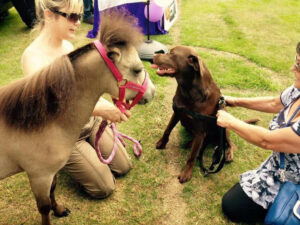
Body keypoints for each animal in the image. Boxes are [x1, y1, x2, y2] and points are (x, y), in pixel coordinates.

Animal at [151, 45, 236, 183]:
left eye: (172, 54)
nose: (153, 55)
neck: (187, 89)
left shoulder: (201, 130)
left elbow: (192, 156)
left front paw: (186, 173)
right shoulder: (177, 113)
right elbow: (167, 130)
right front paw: (162, 143)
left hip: (224, 124)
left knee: (229, 142)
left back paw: (228, 154)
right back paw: (190, 143)